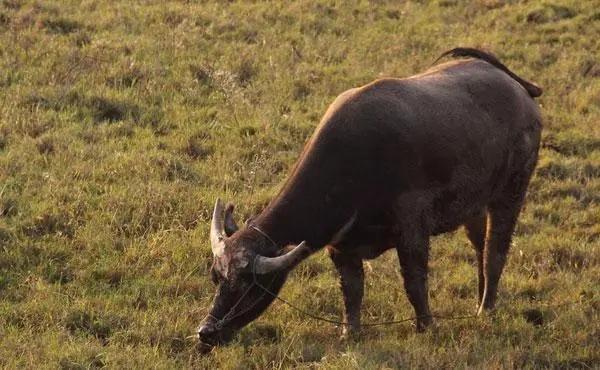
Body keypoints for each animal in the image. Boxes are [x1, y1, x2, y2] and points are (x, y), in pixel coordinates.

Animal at [198, 47, 544, 346]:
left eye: (247, 287)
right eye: (216, 277)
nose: (206, 332)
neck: (354, 164)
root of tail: (518, 89)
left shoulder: (412, 231)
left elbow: (414, 283)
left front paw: (426, 326)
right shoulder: (341, 247)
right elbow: (352, 291)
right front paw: (350, 332)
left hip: (511, 192)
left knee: (495, 251)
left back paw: (487, 308)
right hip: (474, 205)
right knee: (479, 246)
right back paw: (480, 301)